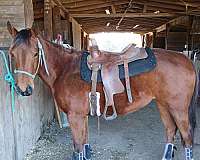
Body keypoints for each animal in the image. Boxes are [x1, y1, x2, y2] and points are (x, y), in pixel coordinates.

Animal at [7, 21, 198, 160]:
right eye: (11, 53)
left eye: (35, 53)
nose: (24, 89)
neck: (66, 69)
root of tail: (186, 60)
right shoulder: (81, 116)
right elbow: (84, 143)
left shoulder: (75, 116)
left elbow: (78, 147)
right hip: (163, 105)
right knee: (170, 130)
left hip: (178, 109)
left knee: (187, 137)